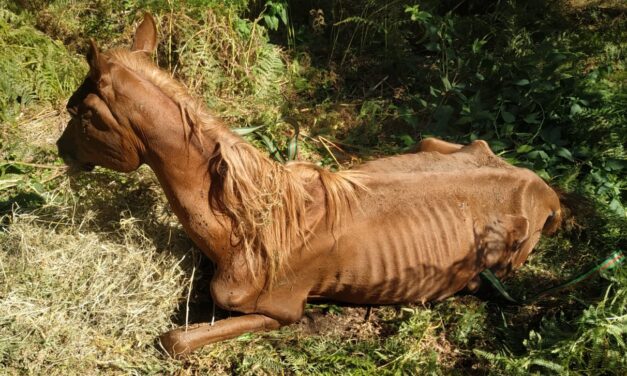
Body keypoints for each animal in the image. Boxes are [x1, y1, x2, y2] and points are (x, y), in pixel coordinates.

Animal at [55, 13, 564, 356]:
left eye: (83, 113)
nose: (61, 150)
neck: (246, 223)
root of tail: (544, 190)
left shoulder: (279, 311)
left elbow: (173, 340)